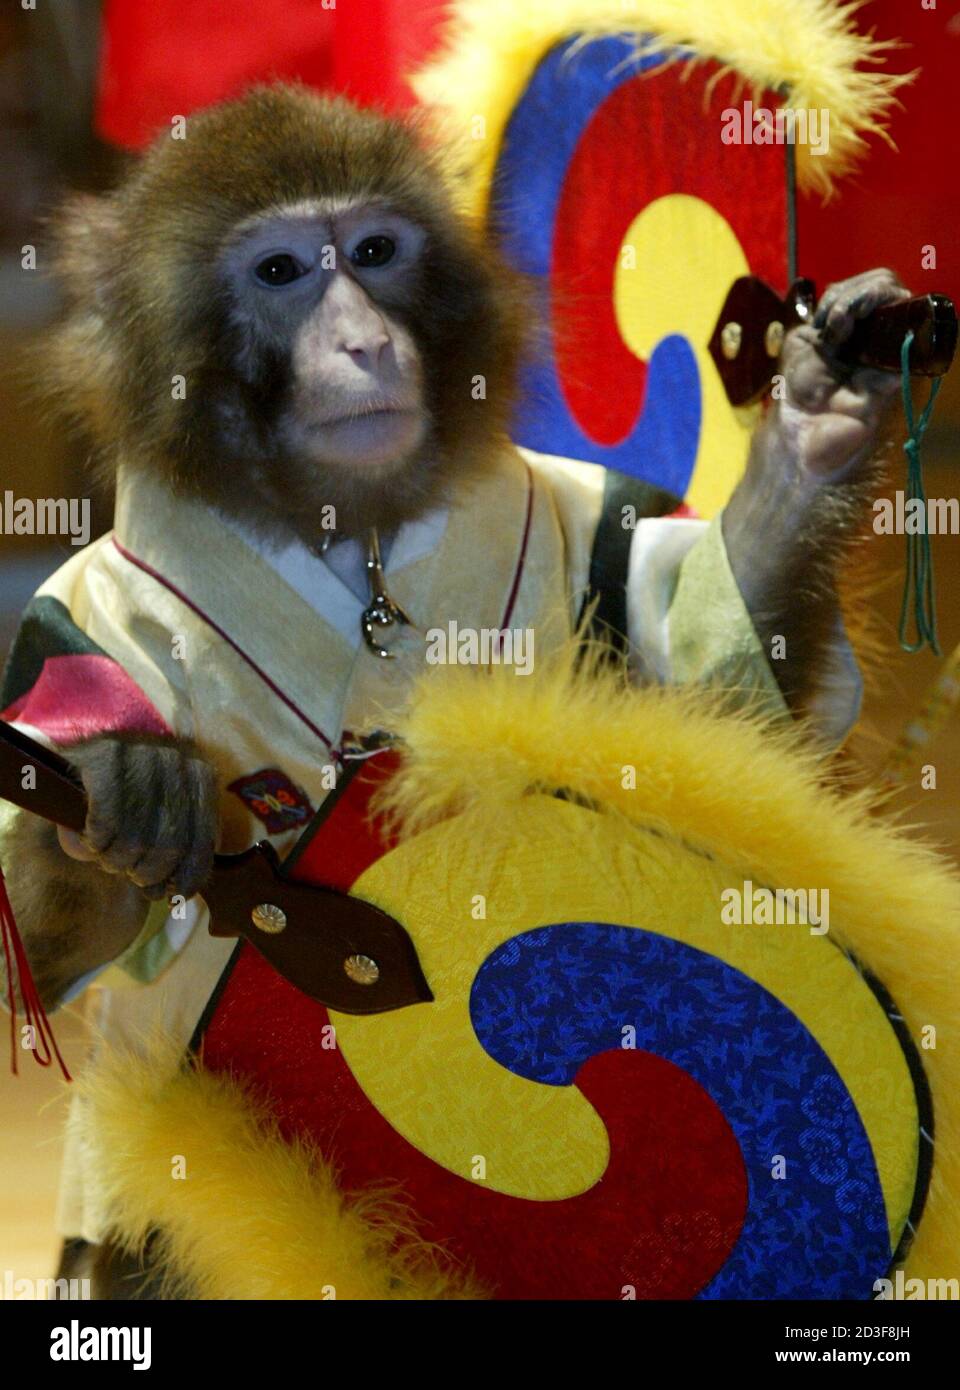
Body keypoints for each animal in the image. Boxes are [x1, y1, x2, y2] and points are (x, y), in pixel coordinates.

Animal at [0, 84, 908, 1297]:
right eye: (280, 272)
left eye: (376, 254)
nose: (362, 340)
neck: (357, 541)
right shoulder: (75, 629)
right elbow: (49, 956)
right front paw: (125, 793)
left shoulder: (596, 522)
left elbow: (719, 709)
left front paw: (813, 426)